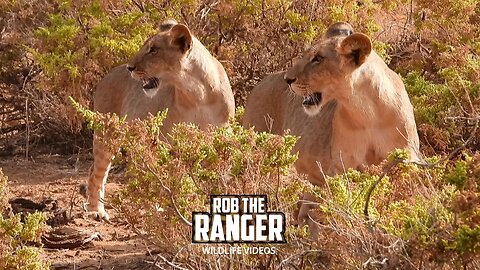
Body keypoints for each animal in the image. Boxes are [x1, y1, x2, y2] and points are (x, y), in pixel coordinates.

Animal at [85, 20, 237, 219]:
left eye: (153, 50)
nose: (129, 68)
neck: (198, 94)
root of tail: (106, 75)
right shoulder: (170, 141)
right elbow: (176, 178)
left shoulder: (221, 136)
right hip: (107, 135)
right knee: (97, 172)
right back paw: (96, 211)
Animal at [244, 22, 420, 185]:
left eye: (318, 59)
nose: (288, 79)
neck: (367, 113)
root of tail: (259, 84)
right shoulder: (341, 166)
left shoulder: (407, 160)